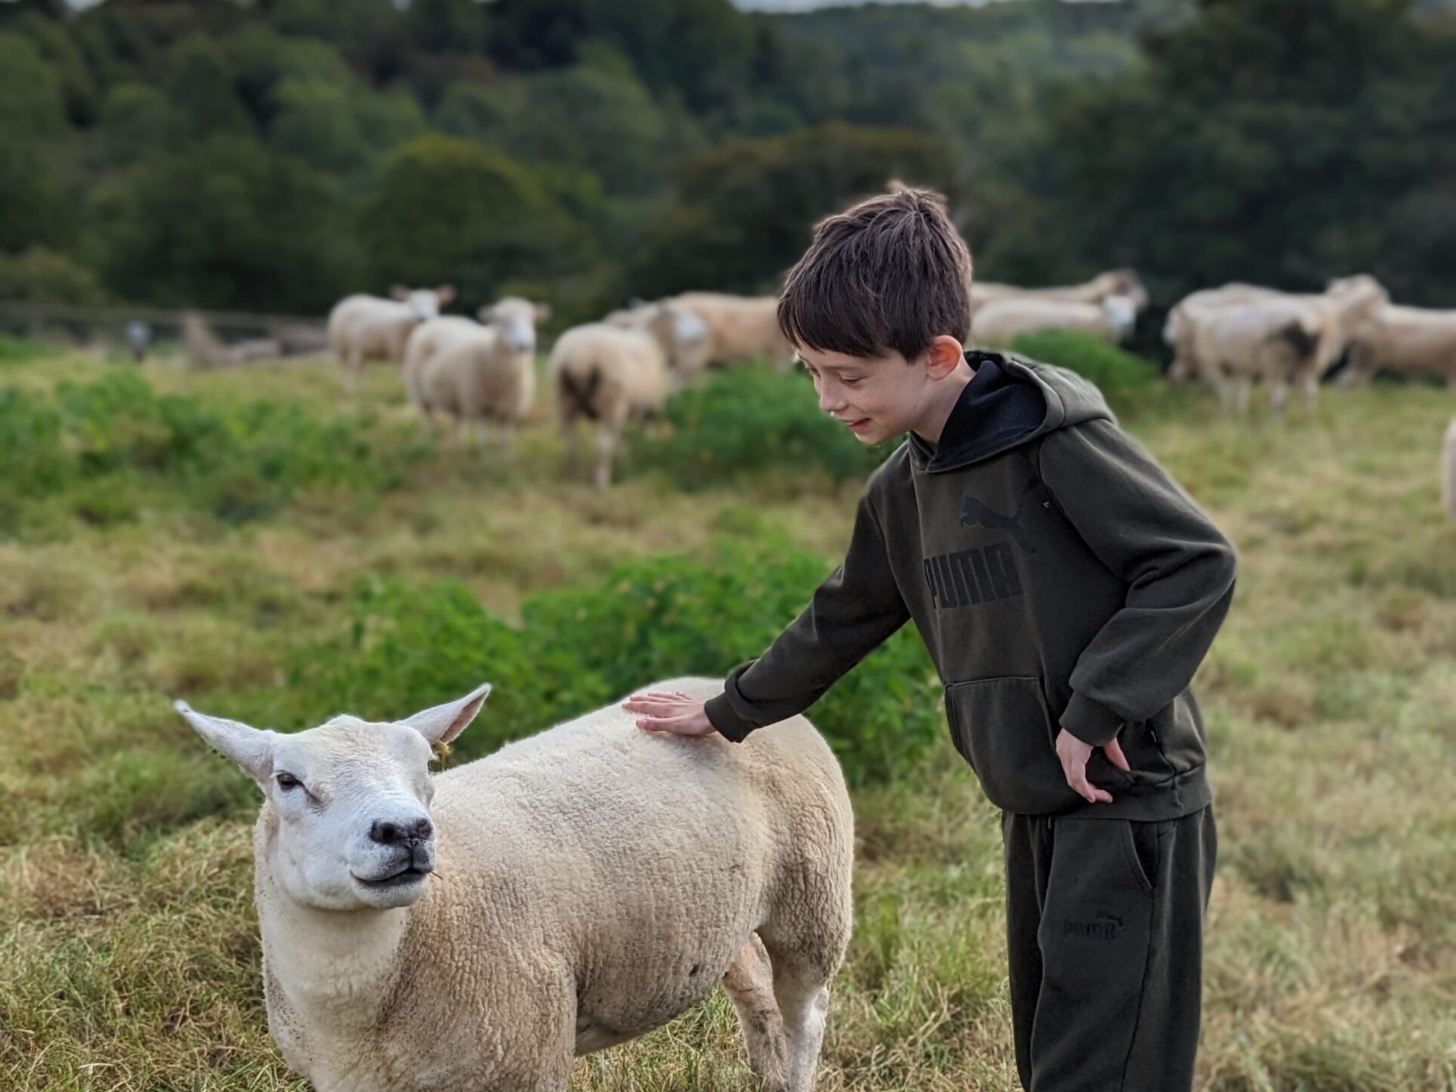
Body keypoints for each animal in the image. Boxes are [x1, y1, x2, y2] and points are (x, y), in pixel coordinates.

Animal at [175, 676, 853, 1092]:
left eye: (427, 766)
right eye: (287, 781)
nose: (405, 831)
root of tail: (712, 684)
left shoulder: (527, 1057)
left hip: (814, 895)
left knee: (805, 1013)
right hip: (720, 914)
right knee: (756, 991)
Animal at [402, 297, 549, 455]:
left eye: (531, 320)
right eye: (503, 321)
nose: (525, 345)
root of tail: (440, 320)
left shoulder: (511, 409)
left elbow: (506, 441)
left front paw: (505, 459)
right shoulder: (479, 406)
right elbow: (484, 441)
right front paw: (485, 459)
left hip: (455, 397)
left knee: (457, 422)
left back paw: (458, 446)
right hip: (420, 393)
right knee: (430, 419)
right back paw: (432, 441)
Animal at [551, 306, 693, 488]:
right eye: (679, 322)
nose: (677, 360)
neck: (655, 344)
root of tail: (580, 358)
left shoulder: (627, 408)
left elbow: (621, 436)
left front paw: (626, 460)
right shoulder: (650, 407)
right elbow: (646, 433)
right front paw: (647, 451)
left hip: (566, 401)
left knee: (572, 442)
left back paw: (573, 477)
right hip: (609, 401)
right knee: (602, 444)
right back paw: (602, 481)